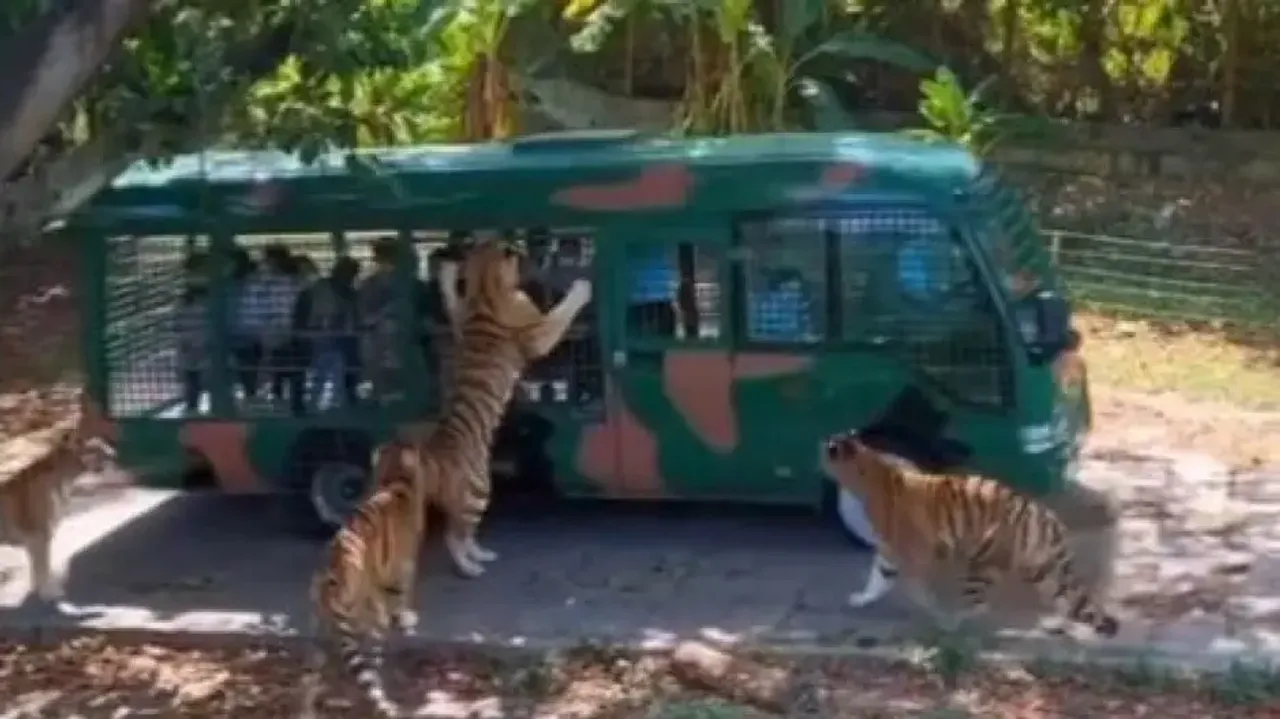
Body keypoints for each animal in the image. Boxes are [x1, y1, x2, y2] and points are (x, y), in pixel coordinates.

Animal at [0, 417, 116, 604]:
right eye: (97, 448)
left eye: (105, 444)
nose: (114, 454)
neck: (65, 474)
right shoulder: (39, 534)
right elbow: (42, 565)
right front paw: (48, 593)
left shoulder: (36, 538)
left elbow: (37, 566)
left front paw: (38, 590)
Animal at [297, 237, 592, 718]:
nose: (527, 255)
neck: (488, 285)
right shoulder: (534, 335)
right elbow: (558, 316)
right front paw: (582, 287)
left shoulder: (461, 317)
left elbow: (453, 303)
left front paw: (446, 273)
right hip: (480, 488)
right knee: (458, 536)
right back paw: (474, 566)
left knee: (460, 532)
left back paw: (482, 556)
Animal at [820, 428, 1119, 638]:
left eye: (827, 449)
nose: (818, 450)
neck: (869, 466)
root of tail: (1045, 515)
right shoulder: (889, 549)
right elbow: (878, 577)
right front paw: (862, 599)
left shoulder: (912, 549)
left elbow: (914, 585)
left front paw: (929, 607)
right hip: (1041, 567)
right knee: (1063, 598)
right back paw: (1054, 625)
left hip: (985, 562)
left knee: (979, 601)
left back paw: (950, 623)